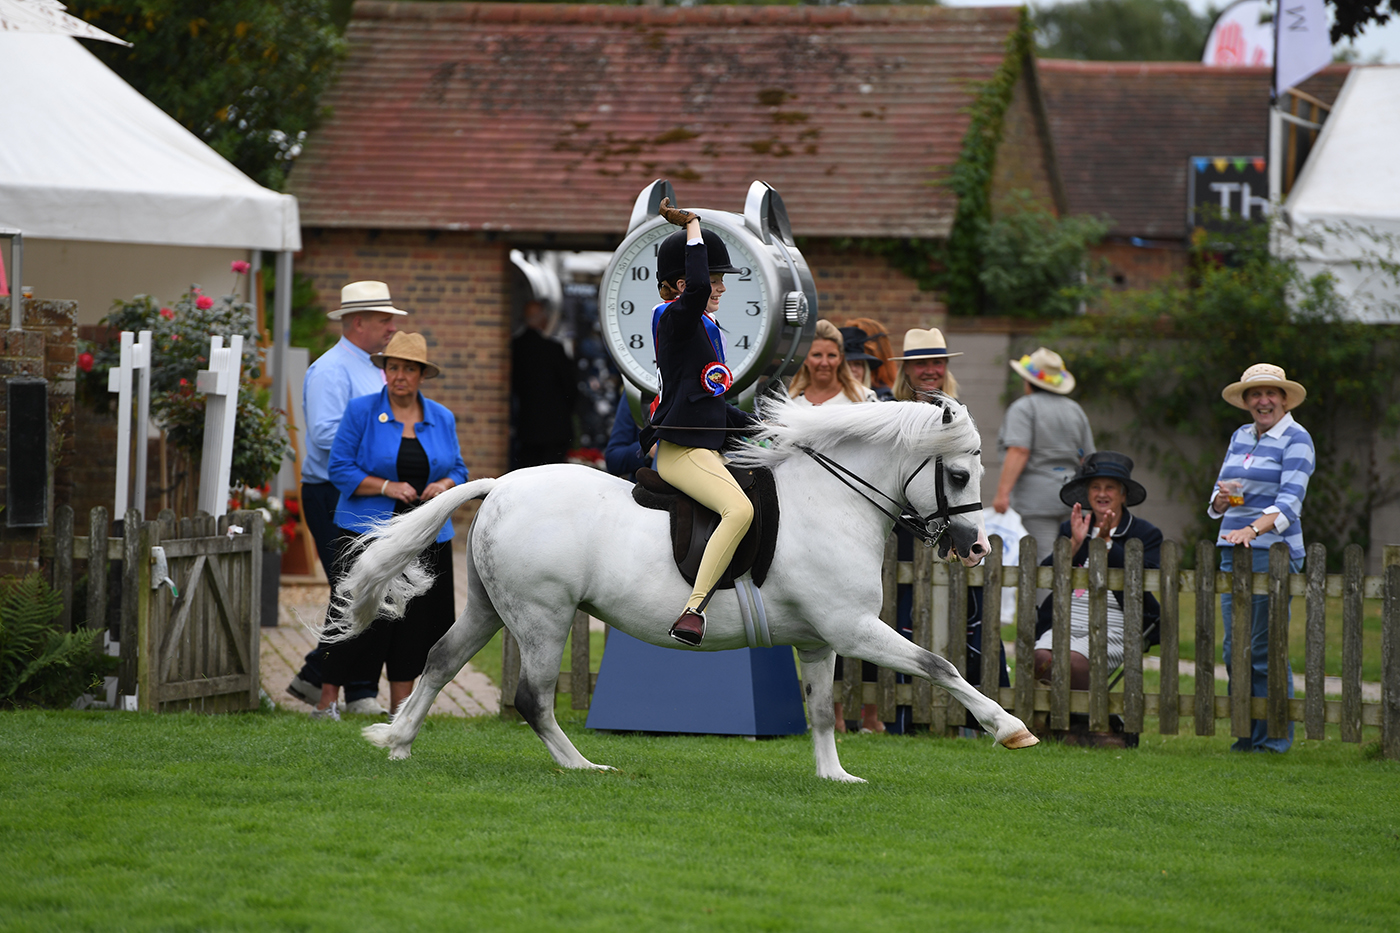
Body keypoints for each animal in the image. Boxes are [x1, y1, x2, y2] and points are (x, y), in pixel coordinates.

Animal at [332, 395, 1039, 782]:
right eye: (957, 473)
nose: (976, 546)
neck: (833, 501)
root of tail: (502, 483)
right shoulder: (853, 627)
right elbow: (939, 664)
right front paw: (1009, 729)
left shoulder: (820, 639)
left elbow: (818, 709)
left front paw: (835, 775)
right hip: (542, 617)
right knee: (533, 697)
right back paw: (582, 767)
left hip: (489, 609)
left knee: (440, 660)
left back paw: (397, 742)